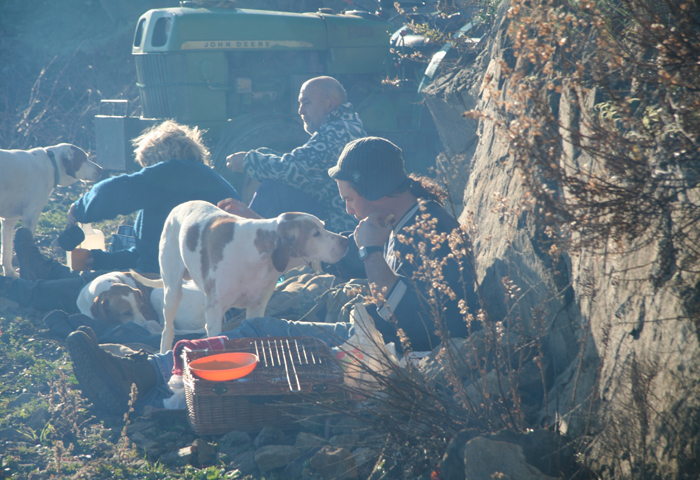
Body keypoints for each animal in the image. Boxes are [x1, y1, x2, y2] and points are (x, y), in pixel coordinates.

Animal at [0, 144, 103, 276]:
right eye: (84, 158)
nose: (101, 170)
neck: (51, 163)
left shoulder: (9, 220)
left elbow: (6, 252)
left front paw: (10, 274)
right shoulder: (31, 216)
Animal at [130, 199, 348, 352]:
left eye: (323, 226)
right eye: (315, 234)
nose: (345, 240)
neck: (257, 257)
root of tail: (181, 205)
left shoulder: (257, 311)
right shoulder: (214, 311)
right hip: (172, 291)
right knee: (168, 329)